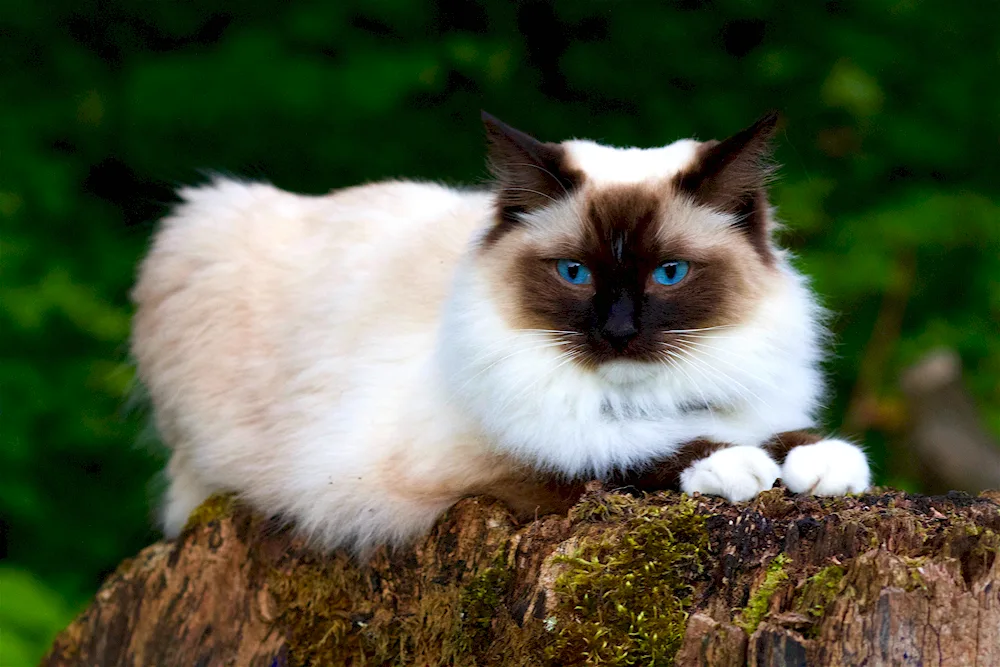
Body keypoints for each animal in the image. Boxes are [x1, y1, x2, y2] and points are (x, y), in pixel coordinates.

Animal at [131, 112, 868, 556]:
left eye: (669, 273)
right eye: (574, 272)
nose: (618, 330)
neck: (637, 396)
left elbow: (773, 428)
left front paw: (823, 462)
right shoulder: (469, 467)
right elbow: (611, 455)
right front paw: (733, 465)